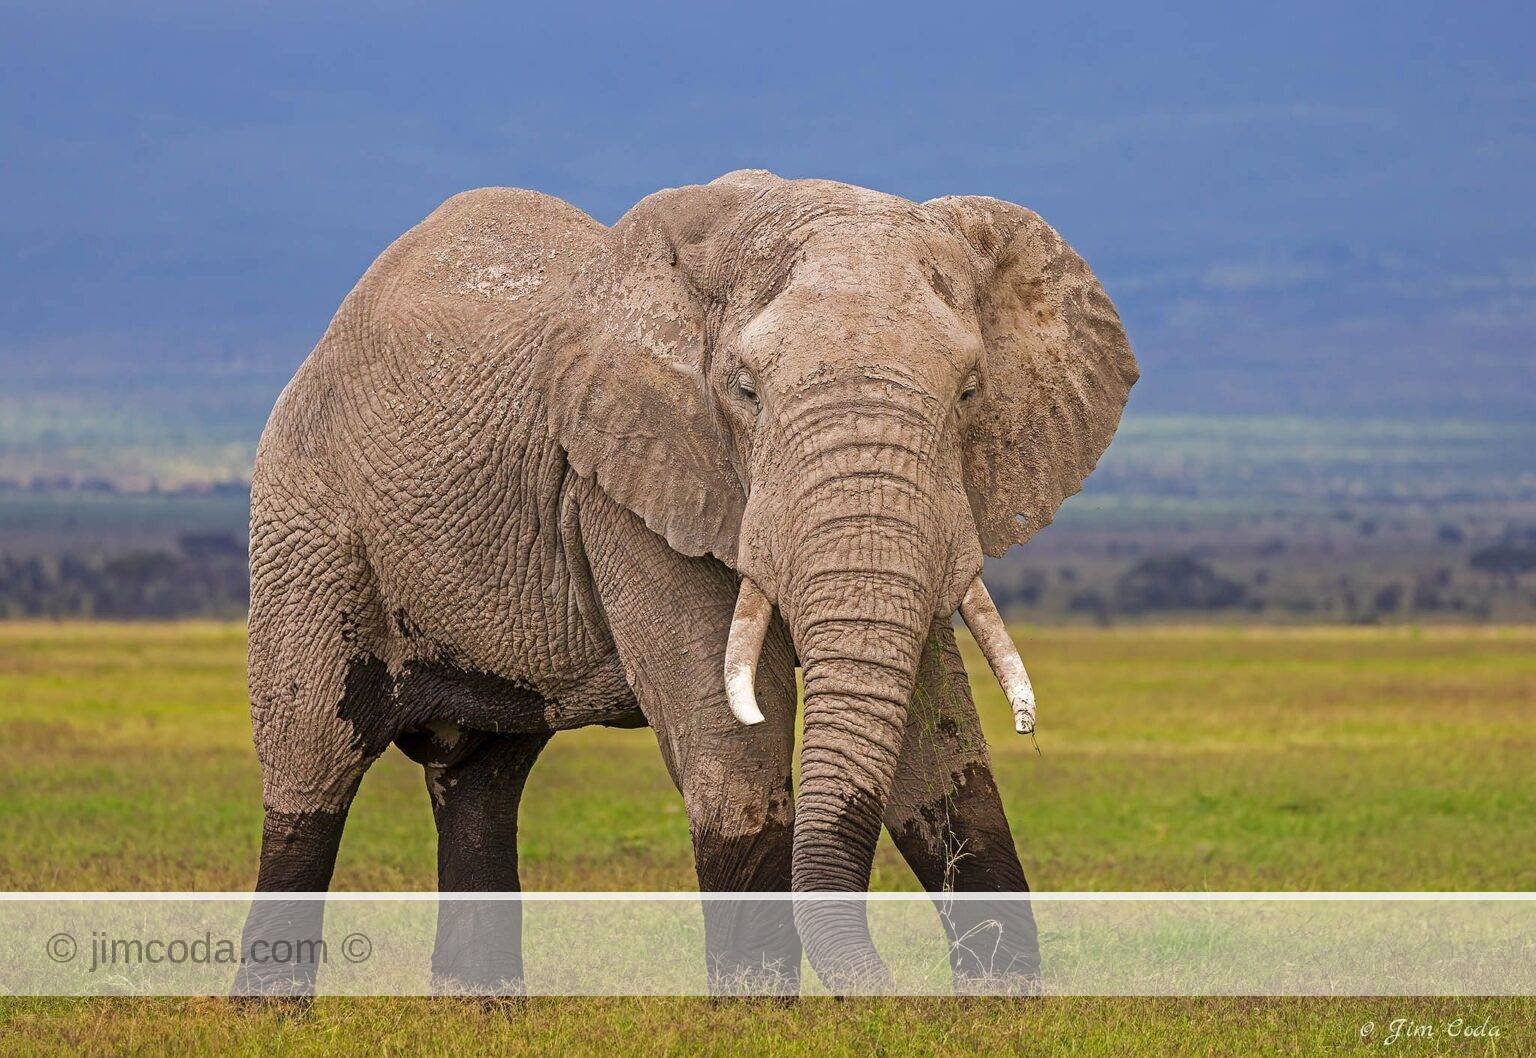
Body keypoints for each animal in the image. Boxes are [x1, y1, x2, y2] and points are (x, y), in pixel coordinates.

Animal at [233, 169, 1136, 996]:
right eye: (745, 391)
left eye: (969, 391)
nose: (899, 997)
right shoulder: (624, 487)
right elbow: (734, 751)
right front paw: (760, 1020)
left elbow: (942, 755)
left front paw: (1000, 1010)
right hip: (307, 527)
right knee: (314, 766)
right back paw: (272, 1012)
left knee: (482, 781)